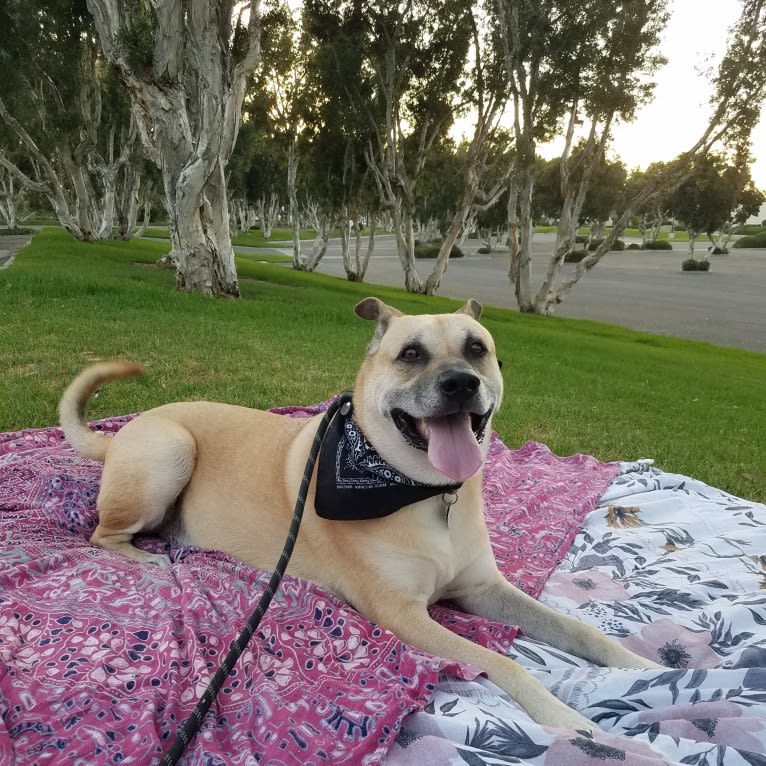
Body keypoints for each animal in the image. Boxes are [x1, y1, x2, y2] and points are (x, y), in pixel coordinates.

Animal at [60, 298, 660, 732]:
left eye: (478, 349)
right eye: (411, 354)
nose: (461, 383)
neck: (423, 493)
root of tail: (126, 430)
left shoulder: (483, 589)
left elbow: (579, 630)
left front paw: (646, 668)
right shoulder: (402, 614)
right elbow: (506, 663)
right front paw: (572, 722)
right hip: (169, 451)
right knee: (101, 534)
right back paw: (150, 559)